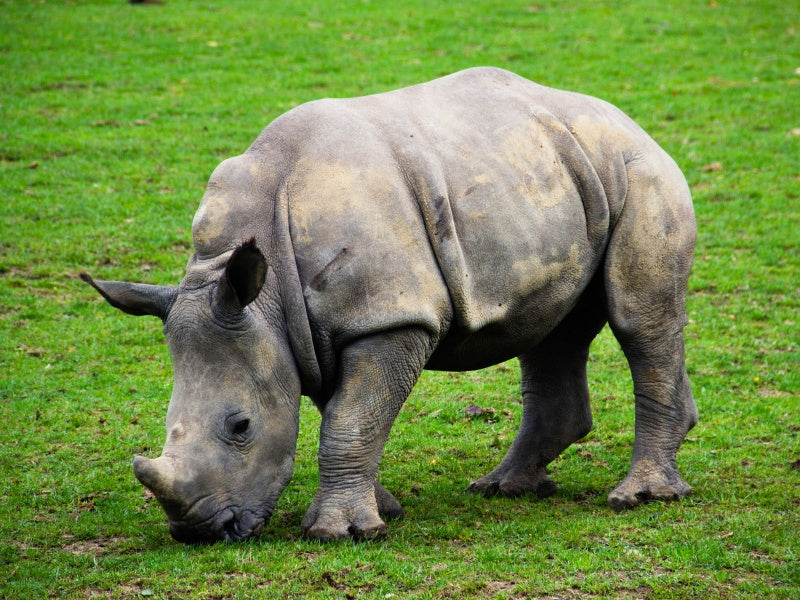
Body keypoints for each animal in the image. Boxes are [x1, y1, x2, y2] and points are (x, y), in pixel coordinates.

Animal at [82, 67, 698, 543]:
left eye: (241, 426)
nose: (199, 531)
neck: (265, 294)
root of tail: (627, 119)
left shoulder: (388, 318)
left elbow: (350, 420)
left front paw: (340, 533)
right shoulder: (312, 332)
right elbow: (346, 413)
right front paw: (382, 511)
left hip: (640, 172)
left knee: (638, 321)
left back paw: (639, 497)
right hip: (558, 174)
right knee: (549, 331)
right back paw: (504, 488)